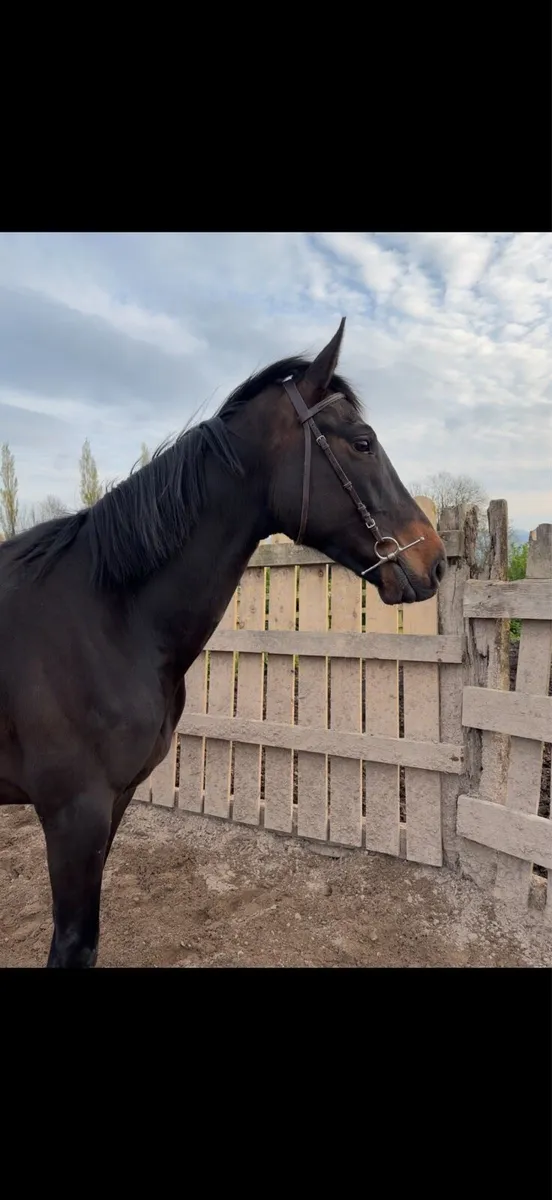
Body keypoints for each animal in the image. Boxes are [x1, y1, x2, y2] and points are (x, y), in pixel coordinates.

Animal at [0, 318, 446, 967]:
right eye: (363, 442)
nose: (434, 562)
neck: (104, 618)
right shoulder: (72, 815)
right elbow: (73, 945)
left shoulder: (111, 805)